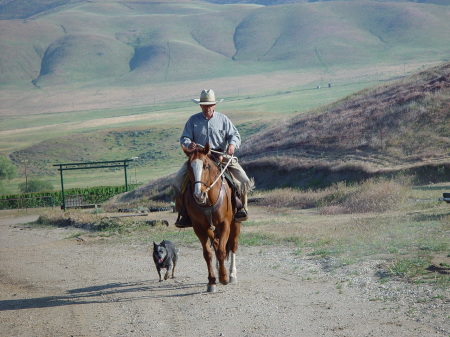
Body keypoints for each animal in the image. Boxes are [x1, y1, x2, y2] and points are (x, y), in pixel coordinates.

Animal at [182, 142, 241, 292]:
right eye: (188, 167)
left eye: (206, 166)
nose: (199, 195)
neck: (208, 200)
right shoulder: (199, 227)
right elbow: (208, 253)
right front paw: (212, 281)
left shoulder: (225, 224)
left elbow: (221, 251)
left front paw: (224, 278)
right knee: (216, 243)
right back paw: (219, 269)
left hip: (235, 224)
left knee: (232, 245)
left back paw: (232, 274)